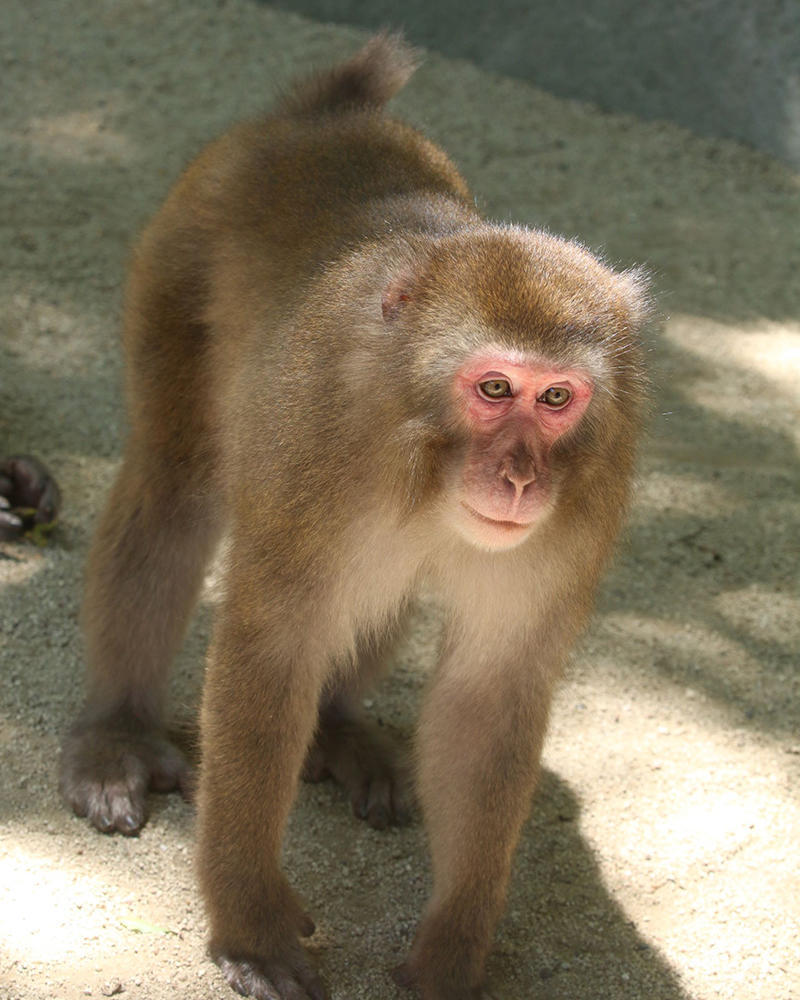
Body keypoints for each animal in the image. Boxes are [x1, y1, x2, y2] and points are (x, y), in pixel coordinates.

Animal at [61, 31, 648, 1000]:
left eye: (558, 398)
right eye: (495, 389)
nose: (521, 479)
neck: (425, 457)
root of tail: (325, 116)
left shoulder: (586, 506)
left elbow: (490, 692)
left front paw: (451, 952)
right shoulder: (317, 446)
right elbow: (270, 651)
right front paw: (253, 924)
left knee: (387, 584)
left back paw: (338, 731)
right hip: (181, 254)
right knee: (174, 491)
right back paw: (117, 730)